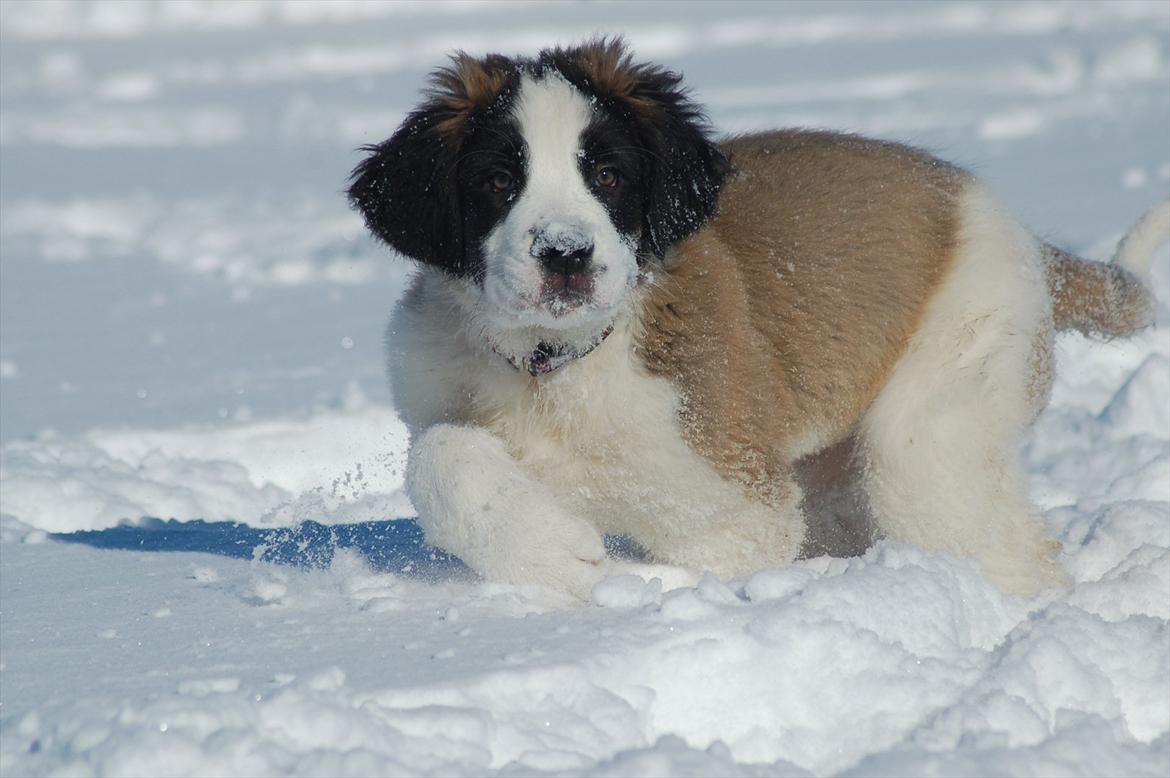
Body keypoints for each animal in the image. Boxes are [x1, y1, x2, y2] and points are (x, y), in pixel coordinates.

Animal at [346, 39, 1160, 596]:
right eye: (497, 181)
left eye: (607, 175)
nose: (565, 254)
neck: (559, 365)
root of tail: (1020, 233)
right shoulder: (437, 396)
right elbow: (438, 454)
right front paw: (547, 548)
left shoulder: (741, 504)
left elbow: (703, 557)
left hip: (936, 421)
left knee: (994, 538)